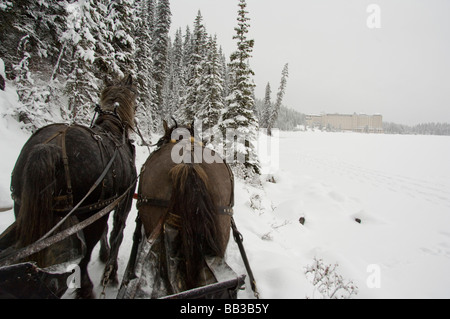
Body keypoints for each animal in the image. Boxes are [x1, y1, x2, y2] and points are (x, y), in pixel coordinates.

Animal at [7, 75, 137, 300]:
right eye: (136, 99)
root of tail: (48, 147)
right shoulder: (120, 204)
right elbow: (116, 234)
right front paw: (111, 273)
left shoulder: (105, 205)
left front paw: (104, 257)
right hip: (87, 215)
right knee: (83, 259)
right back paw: (86, 290)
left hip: (23, 209)